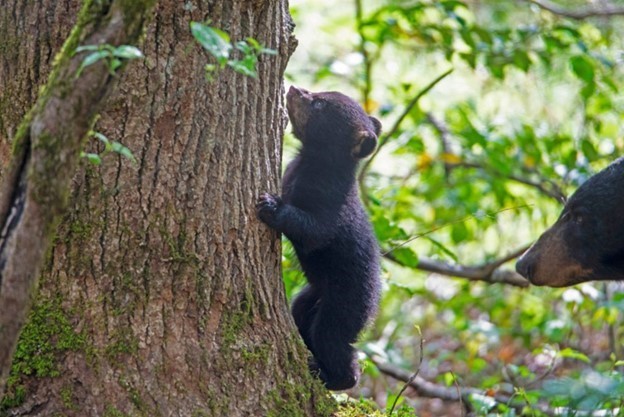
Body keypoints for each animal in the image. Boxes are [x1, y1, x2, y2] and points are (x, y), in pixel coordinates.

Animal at [256, 86, 382, 388]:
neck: (312, 162)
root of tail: (375, 303)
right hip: (312, 295)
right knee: (301, 312)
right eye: (323, 92)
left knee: (332, 337)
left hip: (346, 301)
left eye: (321, 103)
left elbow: (316, 231)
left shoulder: (330, 202)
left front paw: (271, 206)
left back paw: (333, 375)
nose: (294, 89)